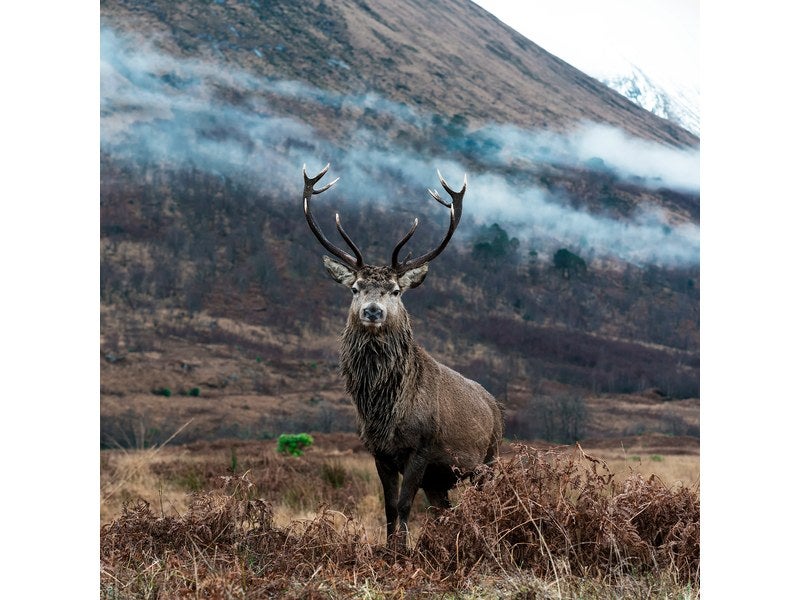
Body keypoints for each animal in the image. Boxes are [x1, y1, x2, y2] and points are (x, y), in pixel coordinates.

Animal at [304, 163, 504, 544]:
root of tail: (495, 405)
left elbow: (404, 505)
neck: (385, 410)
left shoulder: (421, 448)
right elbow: (388, 508)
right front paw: (388, 549)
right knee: (443, 510)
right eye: (355, 288)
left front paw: (402, 552)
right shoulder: (379, 452)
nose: (372, 311)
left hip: (489, 459)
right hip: (441, 478)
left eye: (396, 291)